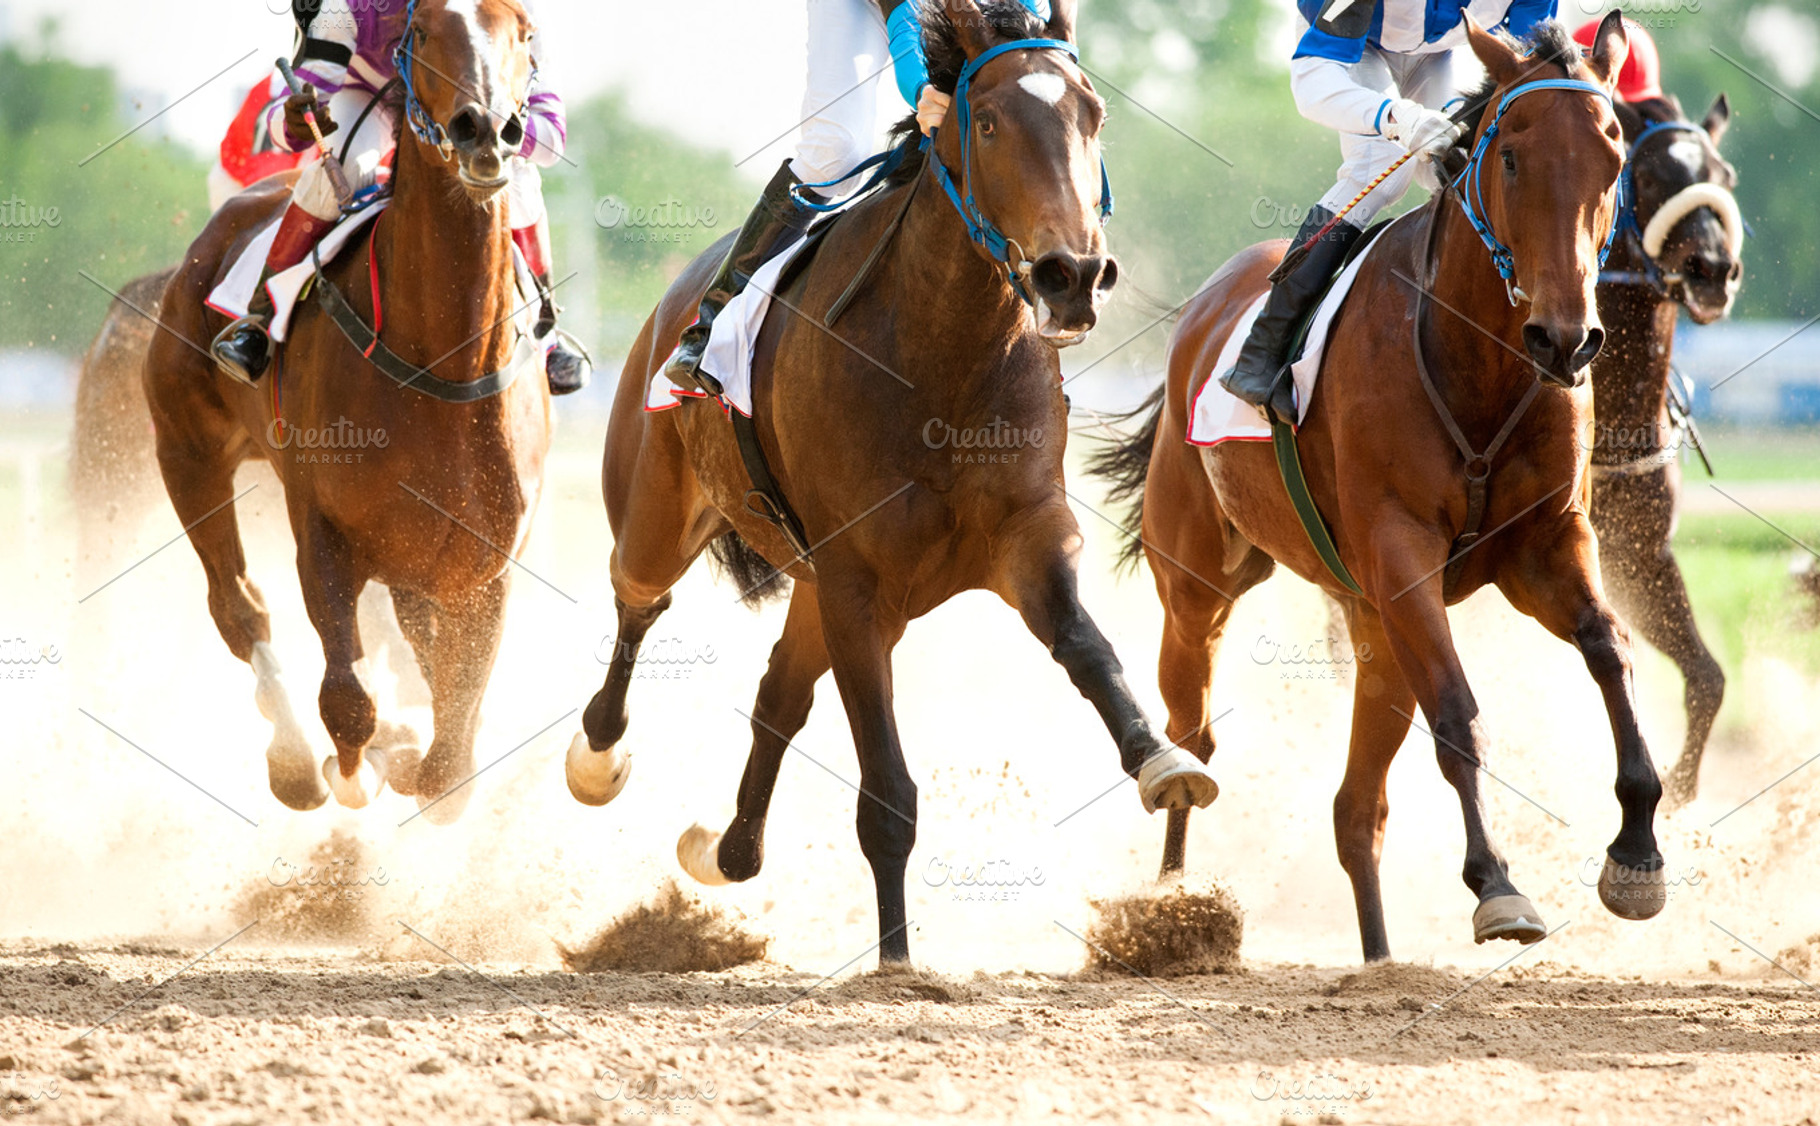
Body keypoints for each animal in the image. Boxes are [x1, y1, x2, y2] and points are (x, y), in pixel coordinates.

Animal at [141, 0, 549, 821]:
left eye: (524, 32)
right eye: (421, 30)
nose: (485, 130)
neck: (443, 360)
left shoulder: (483, 563)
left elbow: (452, 750)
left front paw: (415, 754)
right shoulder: (322, 532)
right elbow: (349, 700)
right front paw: (358, 765)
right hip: (187, 452)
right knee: (238, 607)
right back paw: (297, 761)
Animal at [566, 0, 1217, 966]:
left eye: (1092, 115)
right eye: (988, 124)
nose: (1071, 274)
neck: (942, 356)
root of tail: (670, 302)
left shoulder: (1025, 535)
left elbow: (1086, 646)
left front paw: (1160, 760)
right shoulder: (858, 581)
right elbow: (886, 792)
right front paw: (898, 963)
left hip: (829, 587)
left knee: (779, 694)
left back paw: (725, 851)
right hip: (661, 515)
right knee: (639, 602)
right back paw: (599, 757)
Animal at [1091, 14, 1666, 963]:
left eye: (1613, 157)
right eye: (1511, 155)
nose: (1567, 338)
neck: (1481, 365)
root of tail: (1200, 311)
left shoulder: (1547, 544)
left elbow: (1610, 651)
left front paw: (1637, 852)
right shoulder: (1403, 556)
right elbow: (1459, 714)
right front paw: (1497, 886)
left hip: (1369, 626)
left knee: (1356, 807)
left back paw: (1378, 957)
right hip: (1201, 583)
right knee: (1192, 736)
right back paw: (1173, 906)